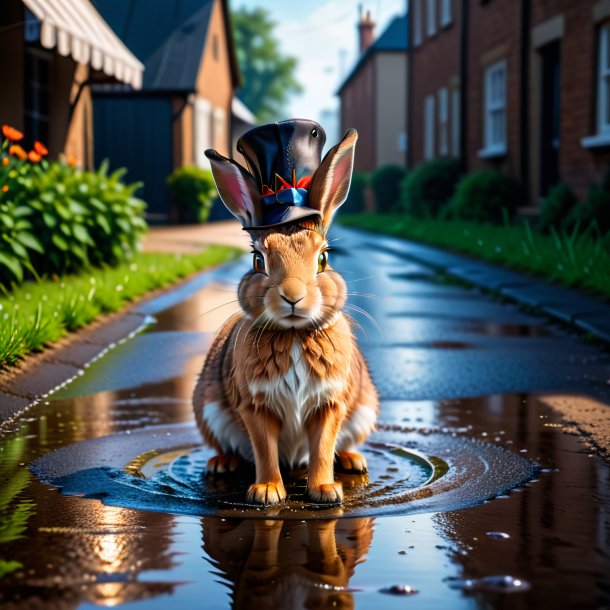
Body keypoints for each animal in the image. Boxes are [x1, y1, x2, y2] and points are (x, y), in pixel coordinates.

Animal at [192, 120, 378, 504]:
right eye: (257, 260)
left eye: (323, 258)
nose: (293, 296)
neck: (294, 334)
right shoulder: (254, 406)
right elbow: (265, 449)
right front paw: (266, 492)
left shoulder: (329, 404)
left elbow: (322, 448)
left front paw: (325, 491)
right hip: (209, 410)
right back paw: (221, 464)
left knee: (341, 445)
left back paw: (353, 461)